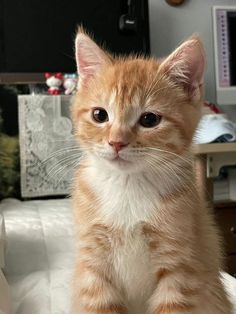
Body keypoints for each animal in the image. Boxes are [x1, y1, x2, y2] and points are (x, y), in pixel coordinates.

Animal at [70, 30, 232, 314]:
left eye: (149, 120)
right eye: (100, 115)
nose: (116, 142)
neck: (127, 186)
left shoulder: (179, 269)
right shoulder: (93, 268)